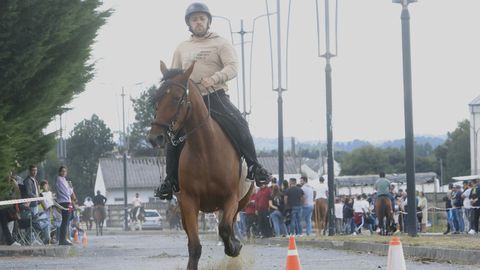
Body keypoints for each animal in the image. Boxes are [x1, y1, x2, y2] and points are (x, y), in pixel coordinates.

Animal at [149, 61, 255, 270]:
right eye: (157, 98)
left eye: (176, 98)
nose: (154, 137)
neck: (205, 150)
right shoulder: (189, 202)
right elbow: (195, 246)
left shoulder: (230, 198)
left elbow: (224, 228)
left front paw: (234, 246)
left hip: (243, 200)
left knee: (231, 223)